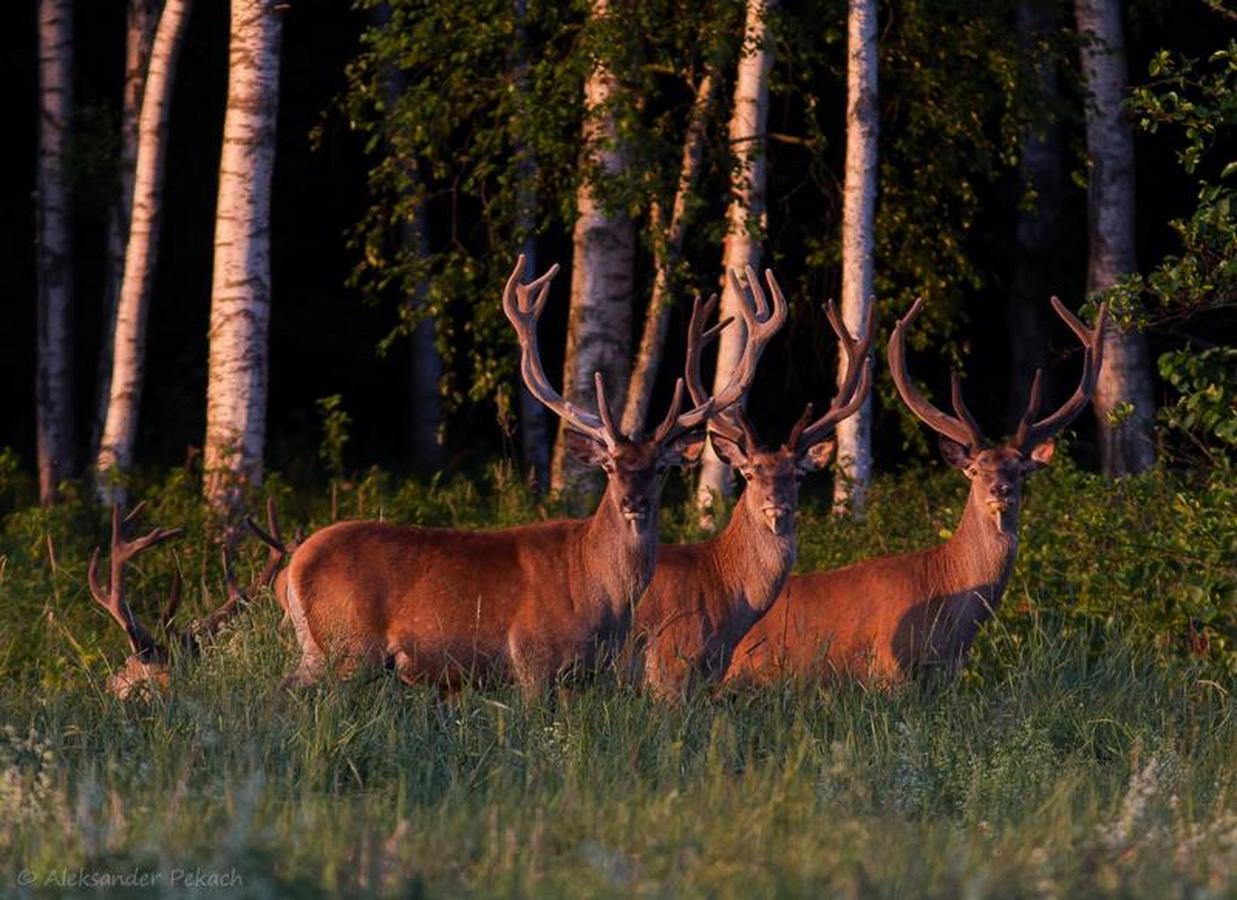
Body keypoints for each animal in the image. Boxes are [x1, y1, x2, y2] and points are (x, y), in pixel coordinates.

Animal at [267, 257, 776, 692]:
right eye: (609, 465)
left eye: (662, 468)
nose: (633, 501)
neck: (596, 592)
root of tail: (293, 567)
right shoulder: (533, 657)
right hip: (346, 646)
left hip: (319, 651)